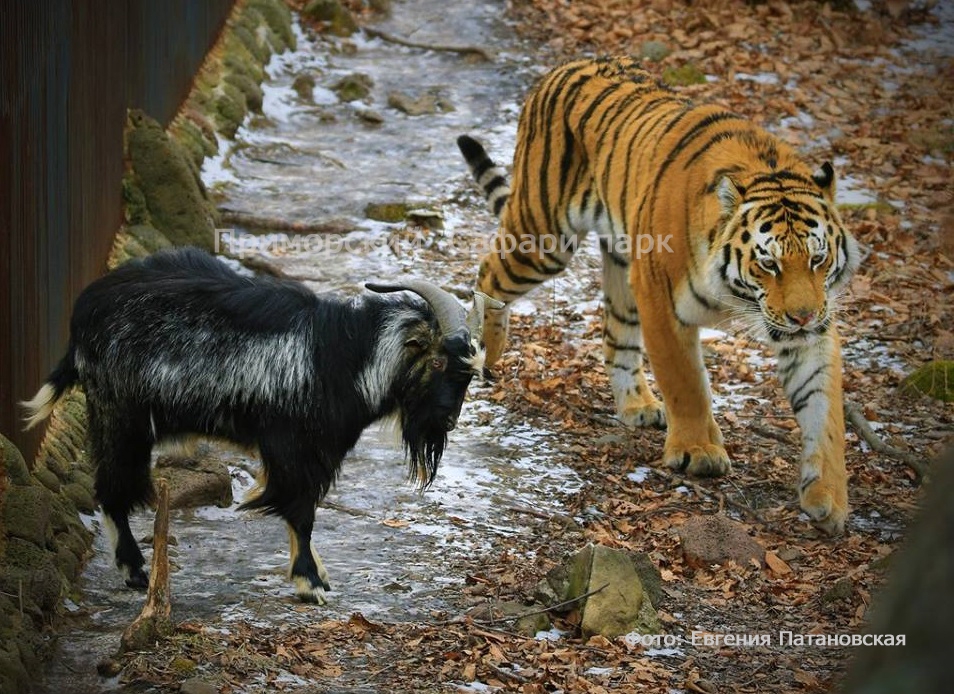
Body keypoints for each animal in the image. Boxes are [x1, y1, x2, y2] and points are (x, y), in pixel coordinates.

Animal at [22, 249, 494, 604]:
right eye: (437, 361)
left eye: (469, 373)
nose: (448, 420)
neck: (343, 358)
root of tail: (84, 311)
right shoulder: (293, 449)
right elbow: (300, 513)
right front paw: (310, 583)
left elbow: (304, 511)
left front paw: (318, 574)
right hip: (121, 419)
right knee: (111, 489)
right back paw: (135, 570)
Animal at [458, 59, 860, 540]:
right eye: (770, 264)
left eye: (818, 259)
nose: (802, 317)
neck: (738, 294)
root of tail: (563, 67)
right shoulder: (659, 296)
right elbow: (685, 382)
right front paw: (698, 451)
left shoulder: (811, 328)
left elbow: (825, 410)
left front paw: (829, 497)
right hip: (544, 237)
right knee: (488, 271)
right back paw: (488, 349)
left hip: (619, 260)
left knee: (615, 337)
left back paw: (638, 406)